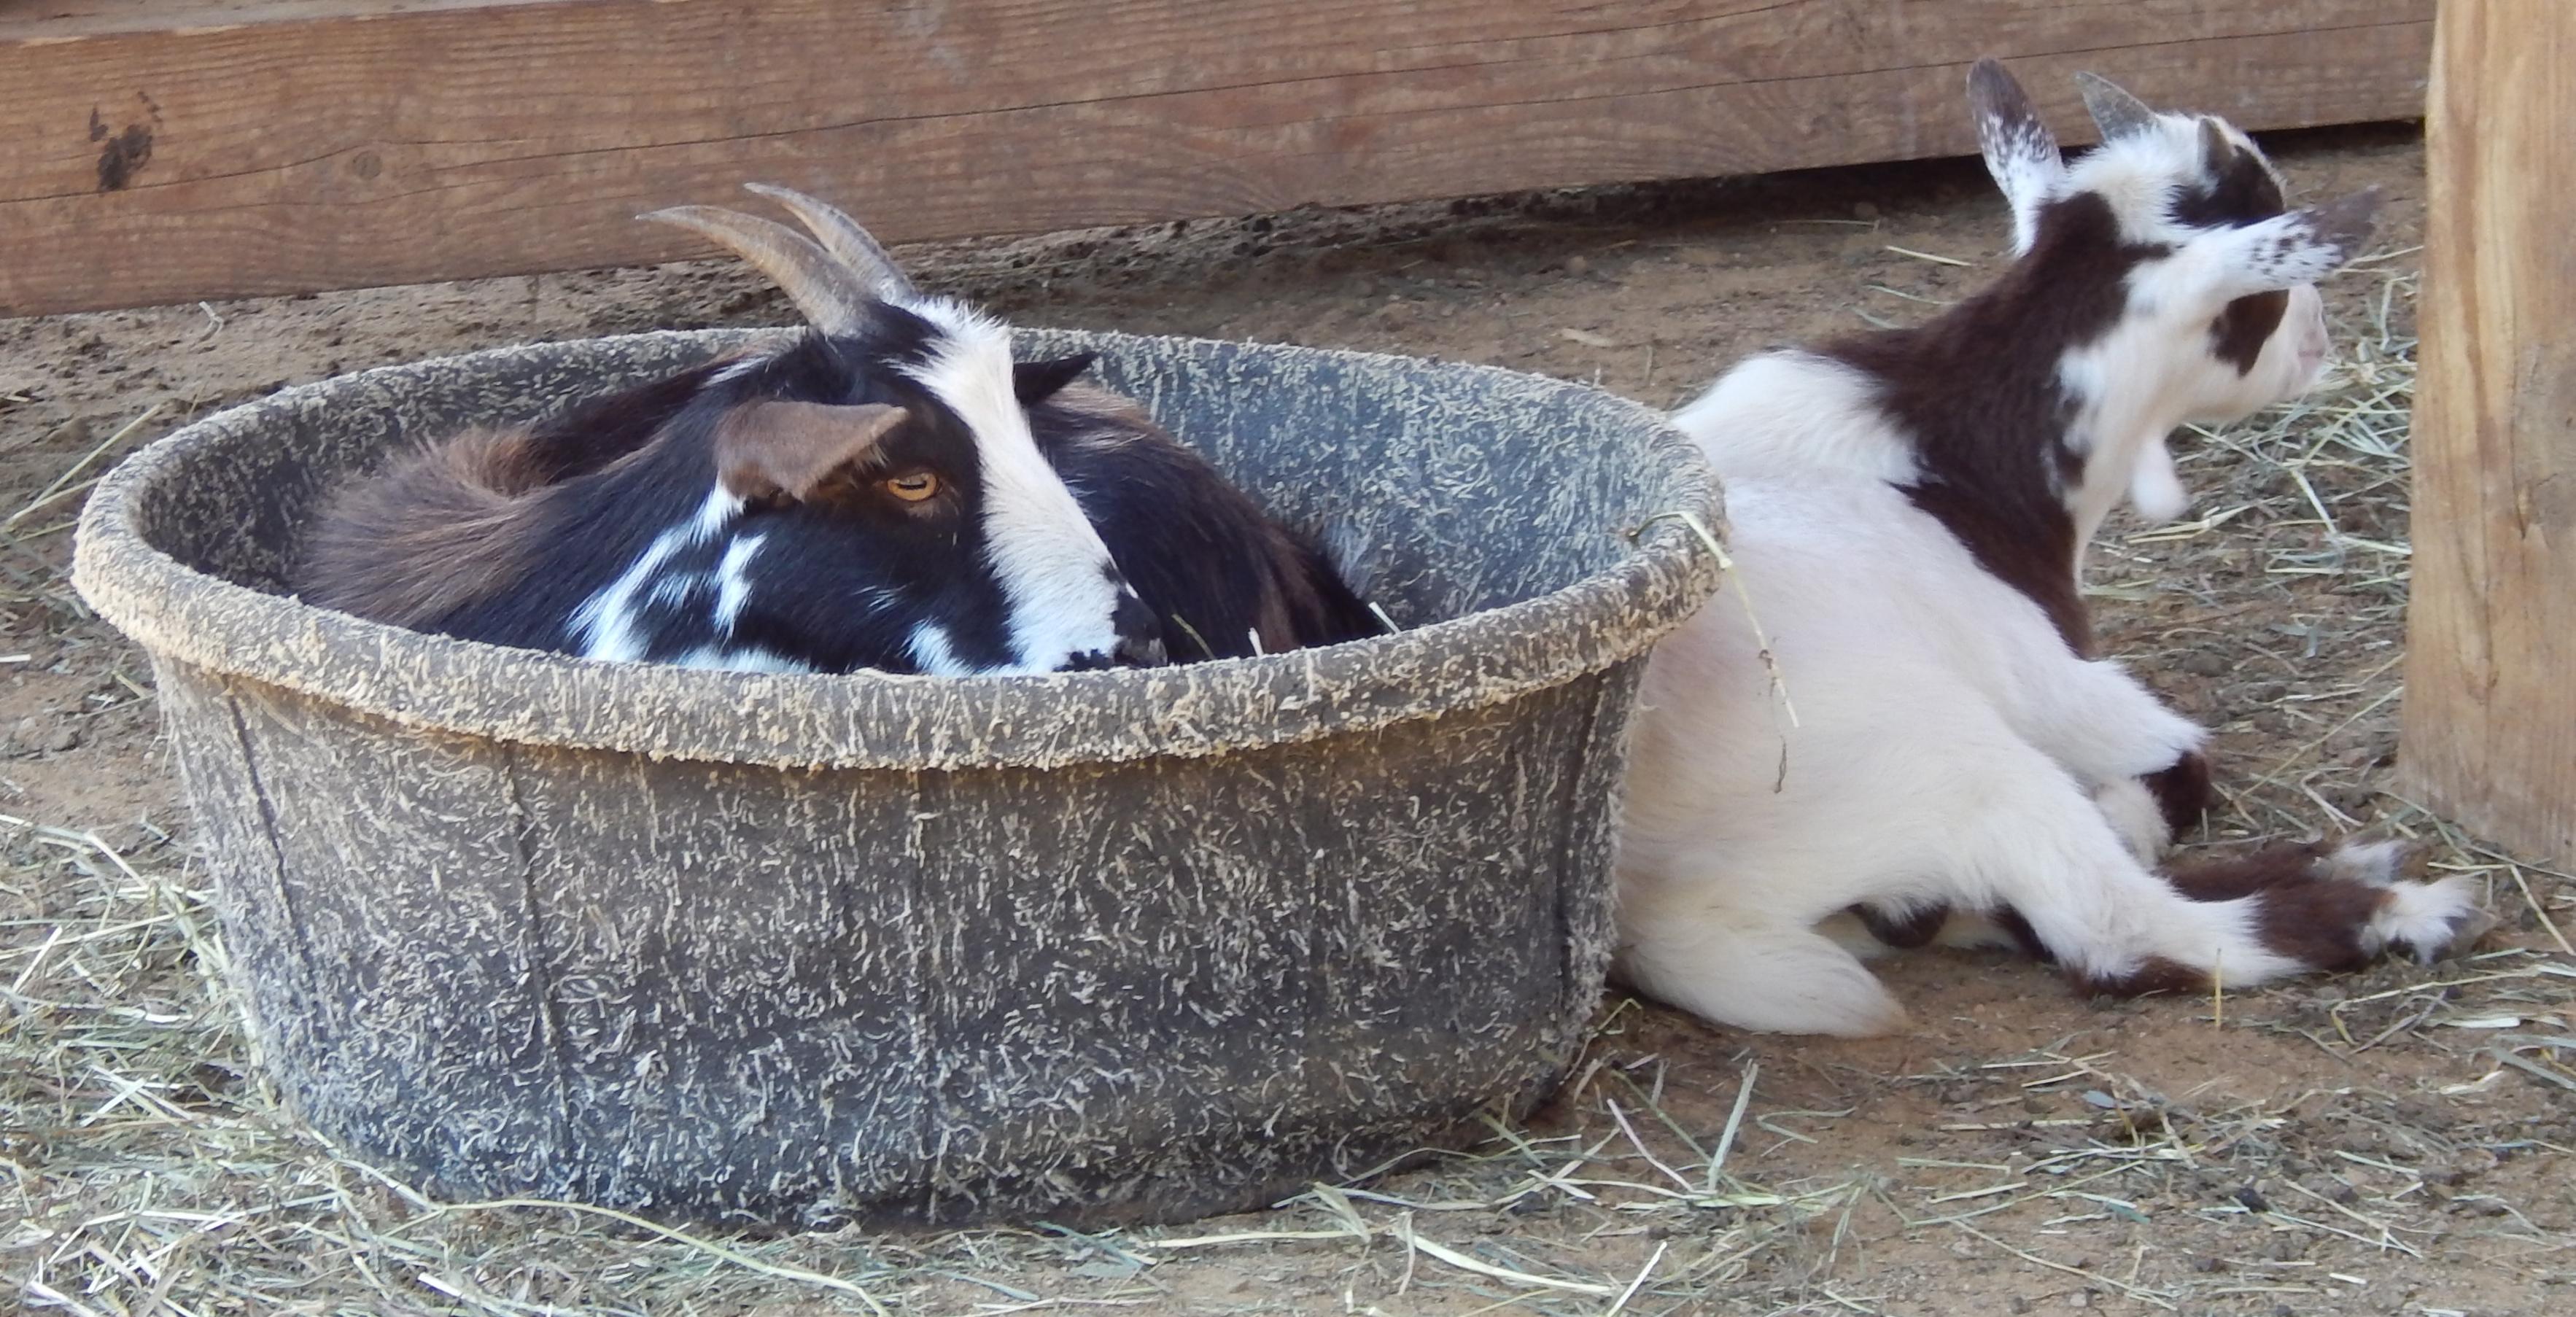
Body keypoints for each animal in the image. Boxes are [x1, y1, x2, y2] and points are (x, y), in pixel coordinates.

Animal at [1618, 61, 2483, 1036]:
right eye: (2260, 292)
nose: (2317, 339)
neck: (1946, 453)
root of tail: (1658, 913)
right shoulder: (2067, 689)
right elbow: (2181, 762)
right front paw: (2133, 816)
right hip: (1959, 765)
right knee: (2120, 932)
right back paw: (2398, 907)